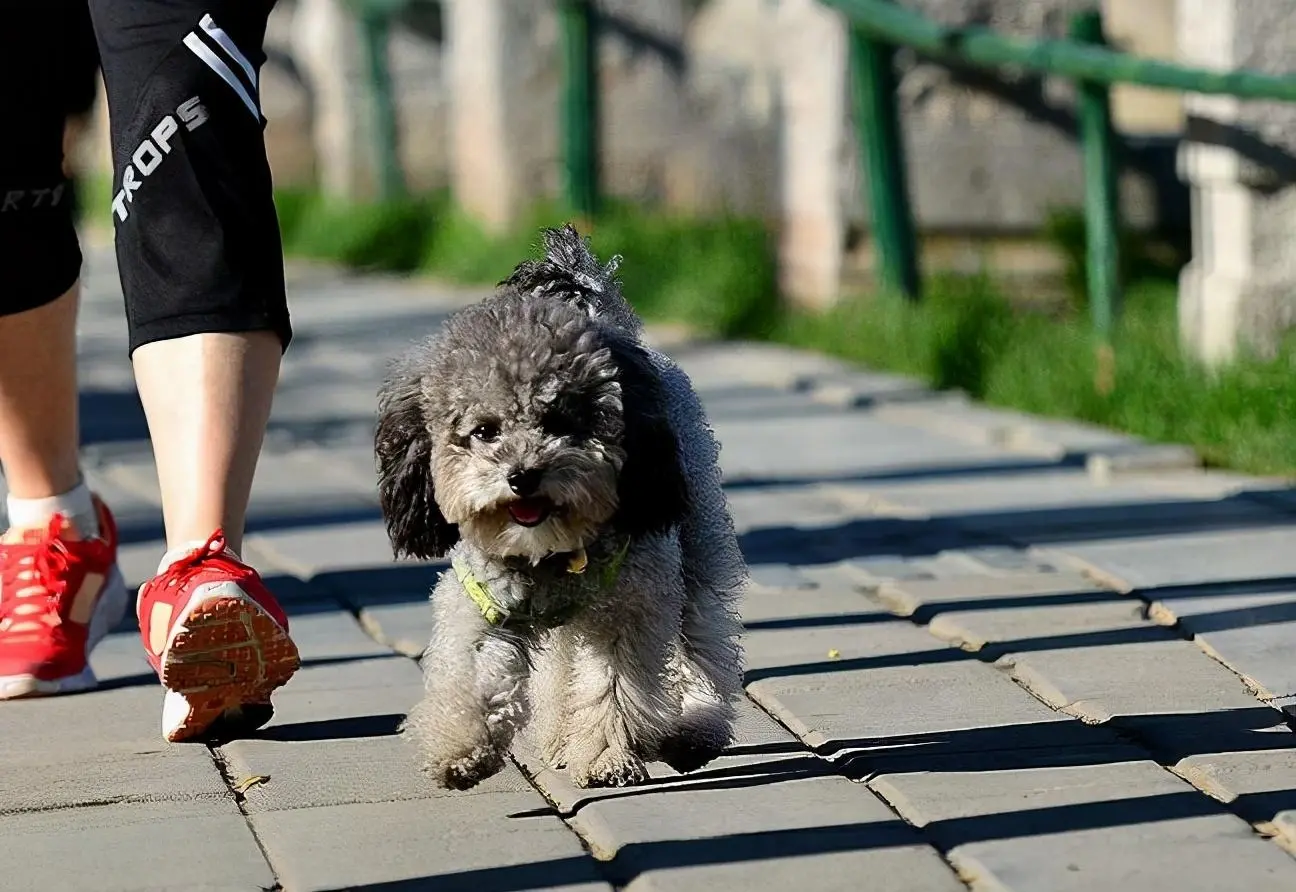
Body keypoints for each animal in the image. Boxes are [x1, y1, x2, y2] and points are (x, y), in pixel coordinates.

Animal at [375, 223, 746, 788]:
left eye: (561, 422)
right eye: (484, 430)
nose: (522, 476)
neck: (550, 554)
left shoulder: (630, 607)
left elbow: (613, 685)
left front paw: (606, 757)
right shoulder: (483, 603)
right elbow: (473, 675)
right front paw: (462, 750)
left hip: (696, 548)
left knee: (702, 640)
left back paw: (693, 729)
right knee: (560, 669)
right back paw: (555, 739)